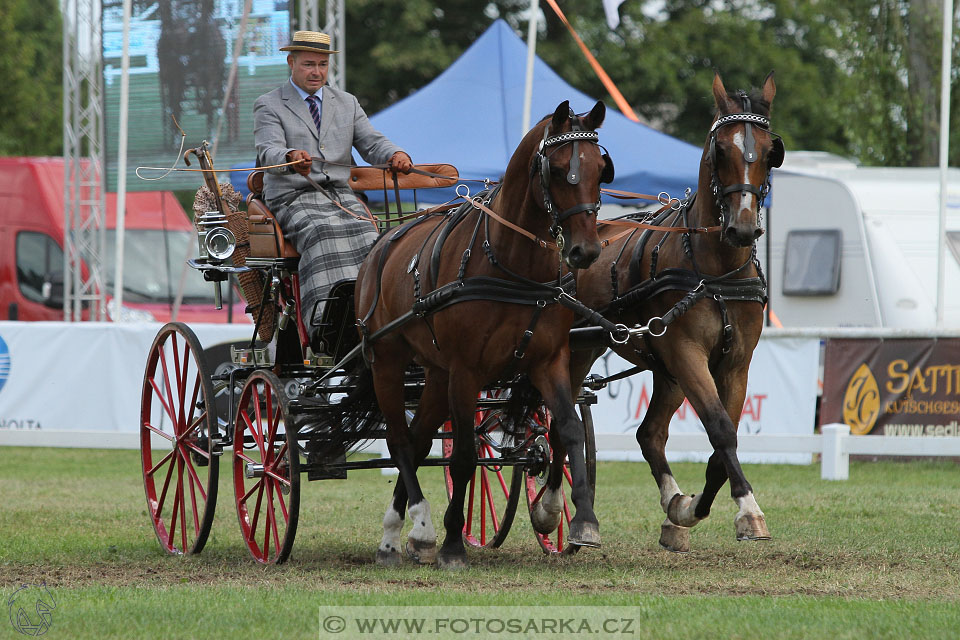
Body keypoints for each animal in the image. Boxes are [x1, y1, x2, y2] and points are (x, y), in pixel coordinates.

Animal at [354, 101, 616, 568]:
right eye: (558, 169)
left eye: (601, 169)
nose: (585, 251)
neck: (513, 266)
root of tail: (383, 241)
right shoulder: (466, 371)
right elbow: (463, 457)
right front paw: (453, 545)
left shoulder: (549, 361)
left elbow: (567, 429)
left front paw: (572, 518)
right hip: (387, 361)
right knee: (400, 441)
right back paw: (418, 529)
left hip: (435, 374)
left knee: (418, 441)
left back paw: (400, 534)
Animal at [568, 72, 788, 552]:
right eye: (720, 150)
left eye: (770, 152)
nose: (742, 227)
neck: (715, 270)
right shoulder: (687, 352)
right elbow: (719, 427)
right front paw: (748, 511)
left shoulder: (734, 363)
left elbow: (725, 440)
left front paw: (692, 509)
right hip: (580, 349)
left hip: (664, 368)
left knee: (649, 433)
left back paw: (674, 508)